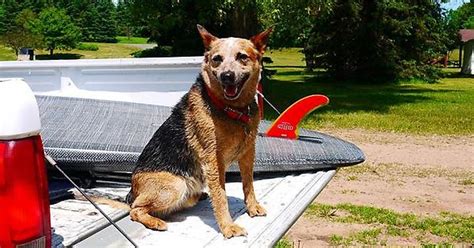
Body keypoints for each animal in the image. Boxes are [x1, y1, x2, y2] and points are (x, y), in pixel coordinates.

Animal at [126, 25, 272, 238]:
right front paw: (227, 226)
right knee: (135, 209)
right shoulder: (213, 161)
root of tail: (132, 190)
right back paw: (155, 221)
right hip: (175, 185)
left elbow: (248, 183)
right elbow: (220, 196)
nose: (227, 76)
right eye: (217, 58)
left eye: (242, 57)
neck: (232, 109)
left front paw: (252, 207)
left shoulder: (248, 153)